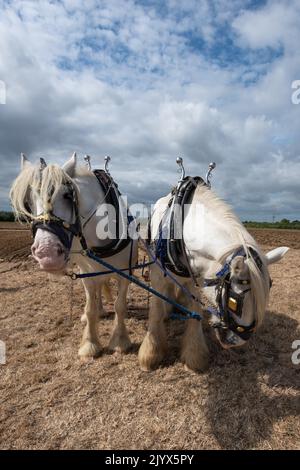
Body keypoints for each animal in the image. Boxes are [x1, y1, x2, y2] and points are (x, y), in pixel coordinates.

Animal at [9, 153, 139, 356]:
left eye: (67, 195)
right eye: (27, 202)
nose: (46, 253)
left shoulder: (125, 273)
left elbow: (120, 306)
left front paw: (120, 341)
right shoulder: (88, 273)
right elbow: (90, 306)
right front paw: (90, 344)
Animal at [138, 183, 288, 370]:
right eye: (233, 302)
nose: (237, 341)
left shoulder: (196, 277)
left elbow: (195, 309)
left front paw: (194, 355)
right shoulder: (158, 274)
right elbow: (156, 309)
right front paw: (151, 355)